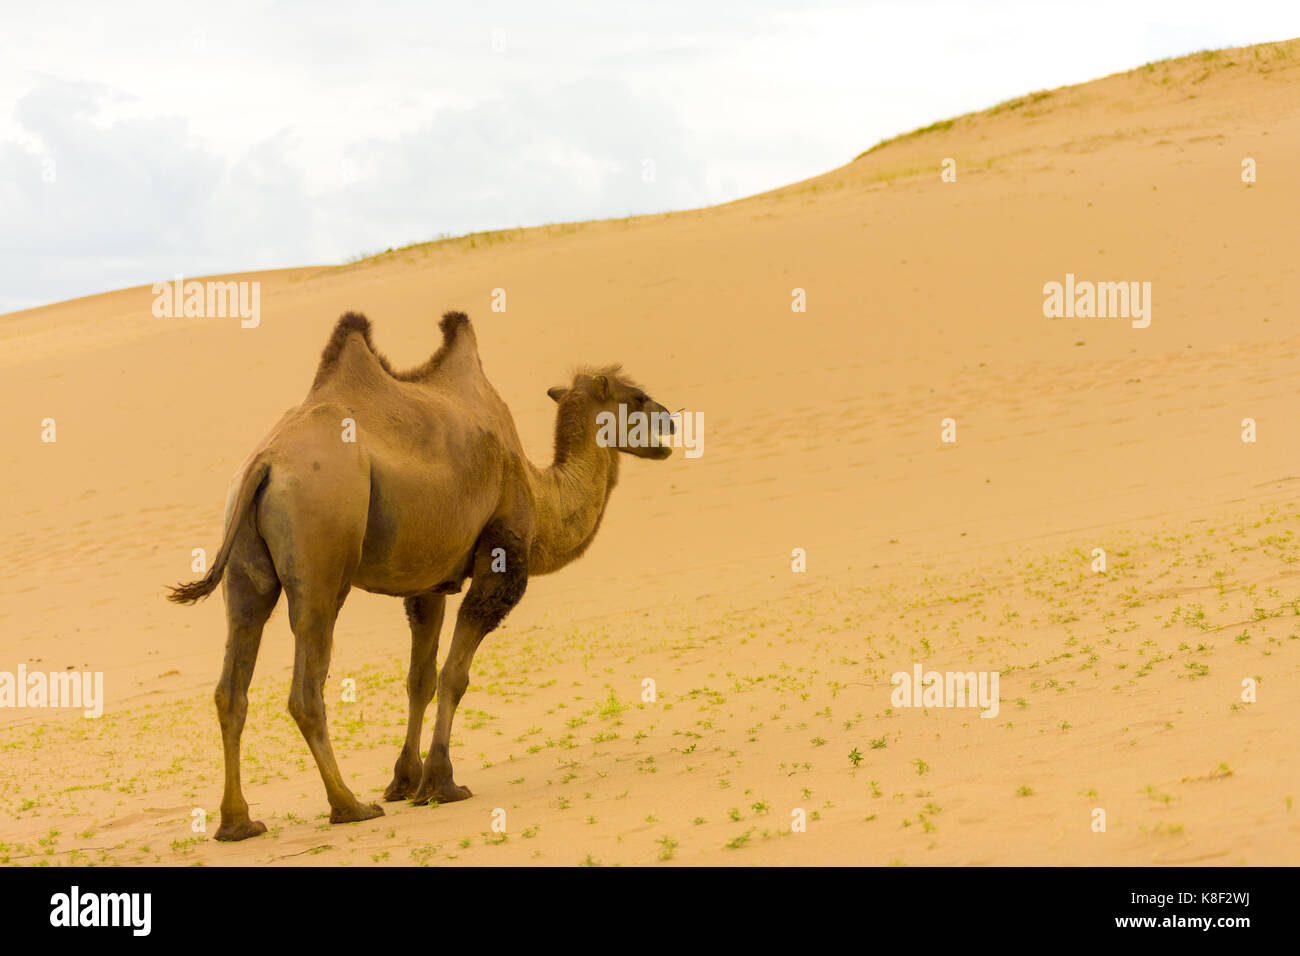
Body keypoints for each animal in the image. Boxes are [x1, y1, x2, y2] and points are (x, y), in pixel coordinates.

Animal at [169, 310, 676, 842]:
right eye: (637, 396)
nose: (673, 418)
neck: (541, 496)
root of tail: (265, 464)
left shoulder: (429, 583)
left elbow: (420, 678)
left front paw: (404, 781)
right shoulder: (500, 560)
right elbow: (455, 674)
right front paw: (440, 781)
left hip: (245, 565)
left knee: (232, 681)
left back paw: (238, 822)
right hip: (321, 551)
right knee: (306, 687)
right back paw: (349, 805)